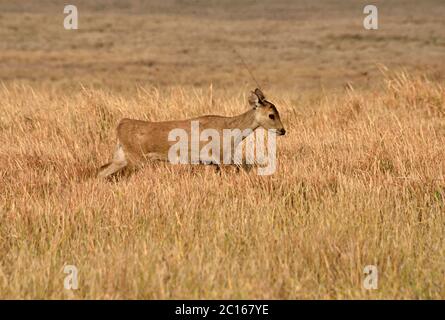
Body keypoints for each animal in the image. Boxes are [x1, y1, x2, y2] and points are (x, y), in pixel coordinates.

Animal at [96, 88, 284, 178]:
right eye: (271, 115)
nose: (283, 130)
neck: (232, 131)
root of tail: (121, 124)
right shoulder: (222, 158)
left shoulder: (213, 163)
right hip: (136, 159)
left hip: (121, 156)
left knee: (101, 171)